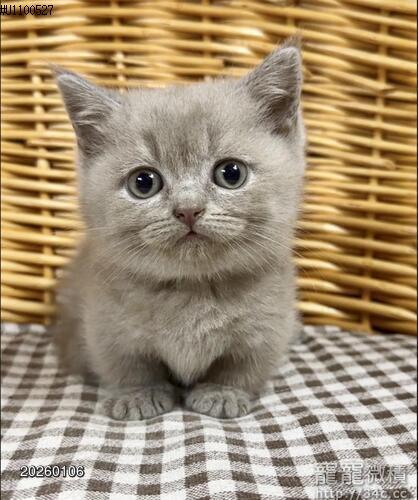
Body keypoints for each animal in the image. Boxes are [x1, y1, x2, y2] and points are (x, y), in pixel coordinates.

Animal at [52, 37, 306, 420]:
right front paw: (138, 396)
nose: (188, 209)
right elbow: (128, 366)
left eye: (231, 173)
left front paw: (222, 393)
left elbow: (242, 368)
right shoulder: (106, 327)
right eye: (143, 183)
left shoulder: (267, 328)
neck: (192, 289)